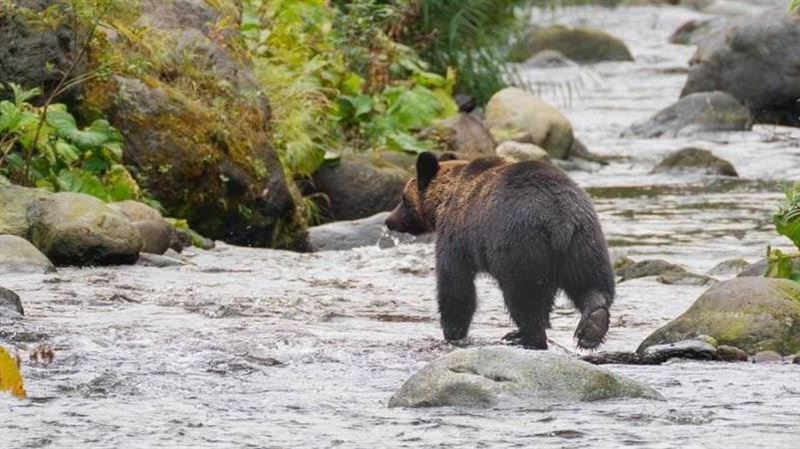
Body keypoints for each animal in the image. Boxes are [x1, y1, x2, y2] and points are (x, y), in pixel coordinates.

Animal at [384, 152, 615, 350]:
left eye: (404, 199)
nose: (389, 221)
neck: (445, 200)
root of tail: (560, 218)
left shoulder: (456, 236)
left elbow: (455, 285)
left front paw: (453, 332)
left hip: (519, 244)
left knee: (523, 296)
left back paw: (526, 337)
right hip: (585, 240)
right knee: (591, 283)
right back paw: (592, 327)